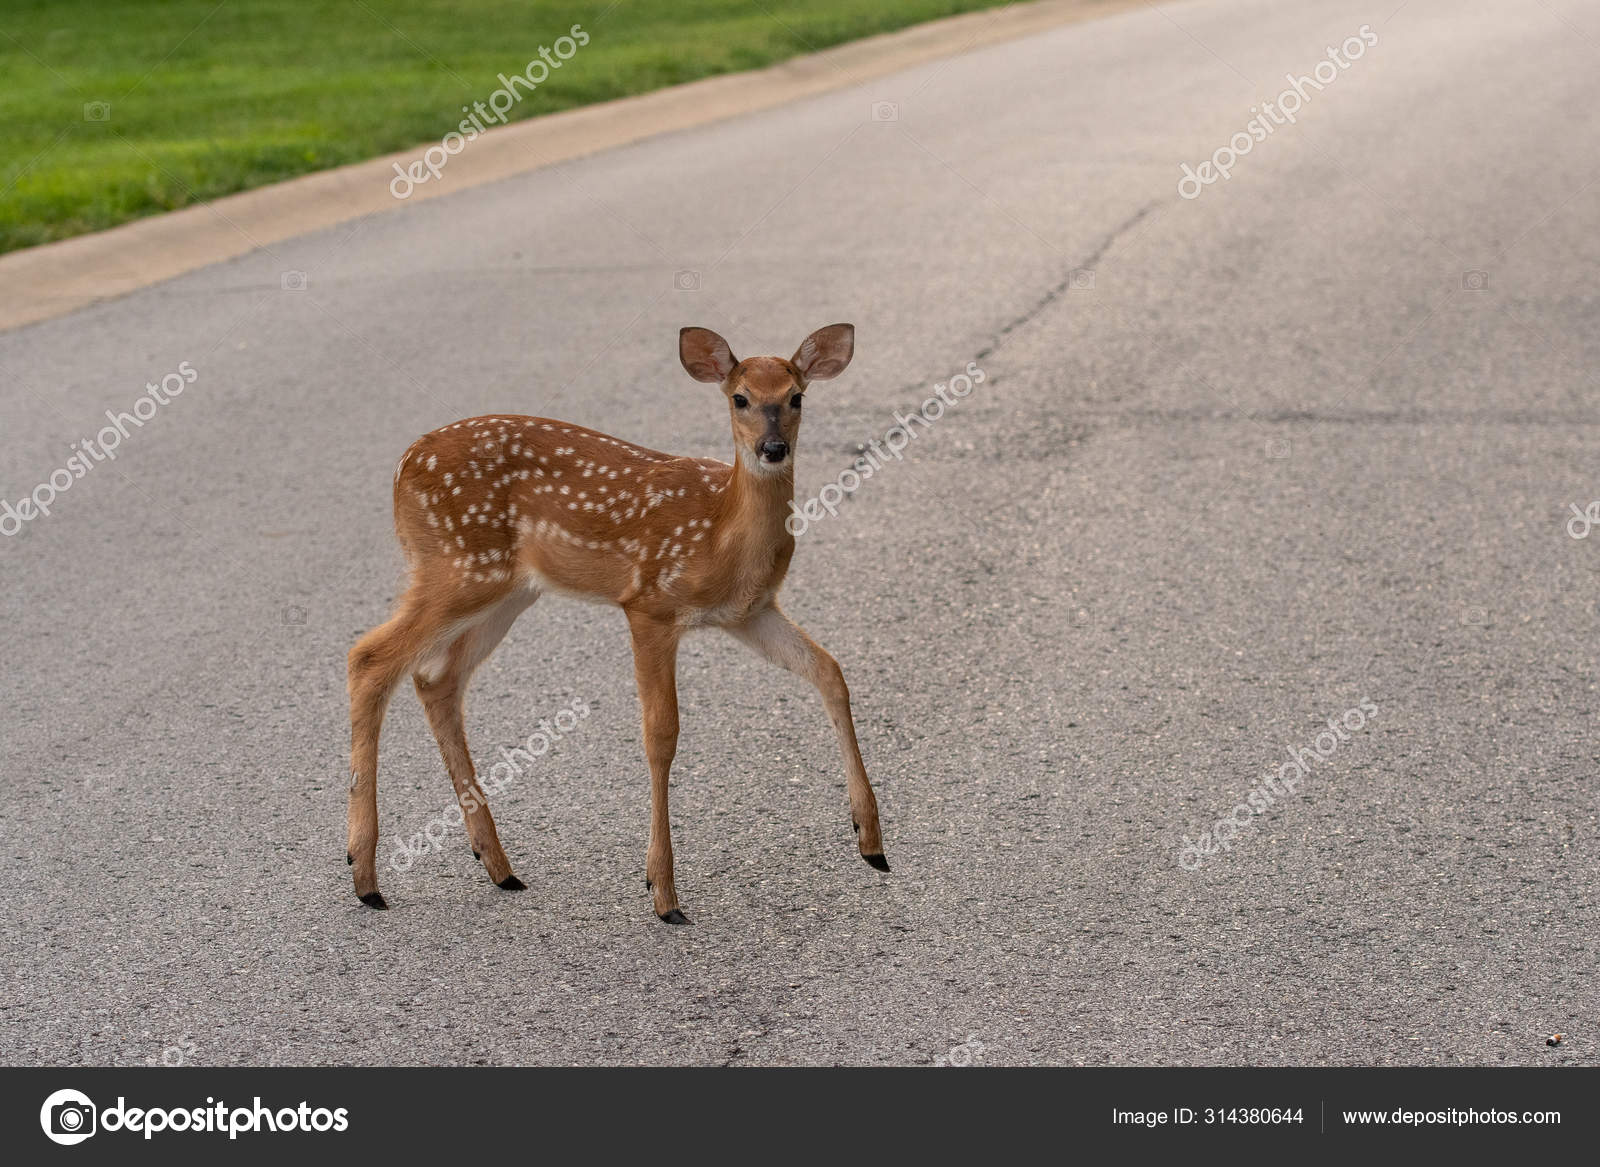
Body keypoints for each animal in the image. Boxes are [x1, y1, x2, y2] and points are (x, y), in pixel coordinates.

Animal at [346, 324, 888, 923]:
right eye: (740, 398)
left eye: (796, 398)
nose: (772, 449)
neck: (721, 532)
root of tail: (404, 464)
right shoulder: (649, 604)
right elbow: (661, 732)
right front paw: (664, 893)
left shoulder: (750, 613)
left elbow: (830, 672)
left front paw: (871, 840)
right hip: (457, 566)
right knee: (370, 658)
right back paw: (366, 876)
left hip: (507, 590)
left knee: (435, 678)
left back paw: (498, 867)